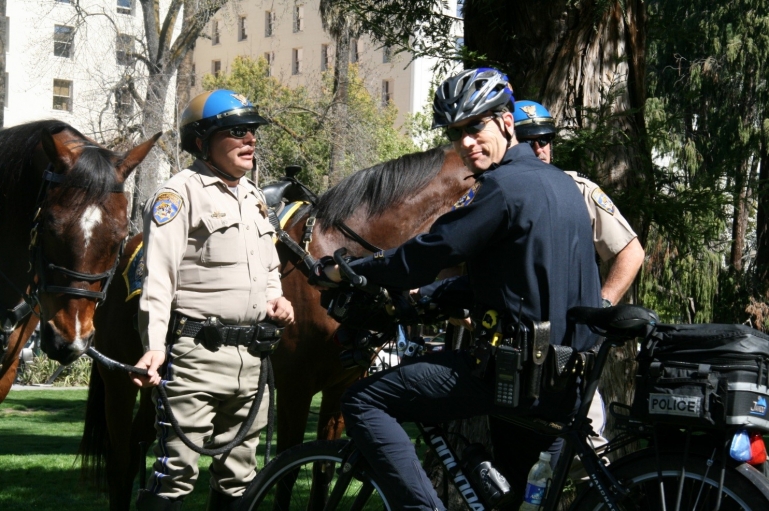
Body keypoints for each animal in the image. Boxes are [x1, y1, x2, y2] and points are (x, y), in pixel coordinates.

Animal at [81, 146, 472, 510]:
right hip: (120, 379)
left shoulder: (341, 387)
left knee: (140, 445)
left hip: (161, 387)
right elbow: (287, 470)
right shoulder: (295, 386)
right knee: (121, 459)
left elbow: (323, 471)